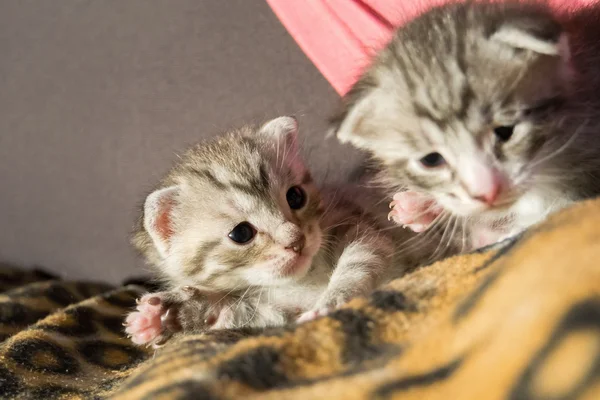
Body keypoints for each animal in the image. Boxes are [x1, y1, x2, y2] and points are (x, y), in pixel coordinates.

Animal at [125, 116, 426, 346]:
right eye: (241, 234)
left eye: (295, 196)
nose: (297, 240)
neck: (303, 281)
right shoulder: (277, 310)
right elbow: (243, 313)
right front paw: (172, 314)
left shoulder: (360, 227)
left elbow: (359, 262)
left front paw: (331, 300)